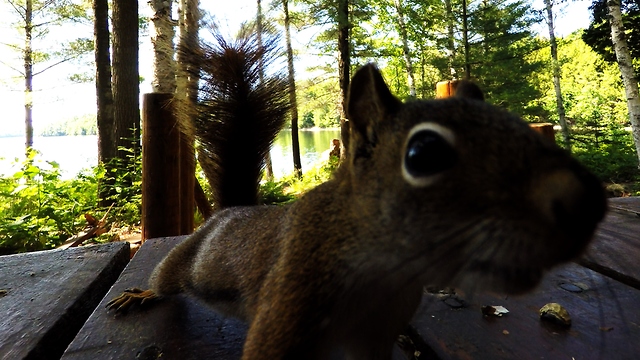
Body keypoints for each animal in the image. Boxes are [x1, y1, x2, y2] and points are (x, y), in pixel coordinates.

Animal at [107, 26, 608, 360]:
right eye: (423, 154)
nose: (586, 202)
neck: (386, 271)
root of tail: (232, 211)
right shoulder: (287, 307)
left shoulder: (376, 336)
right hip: (187, 260)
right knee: (166, 278)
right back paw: (143, 294)